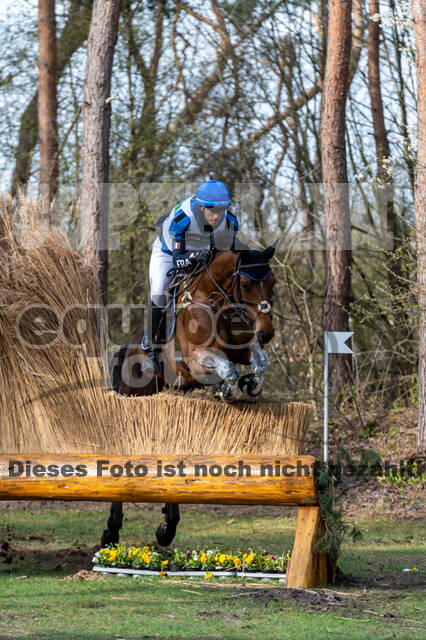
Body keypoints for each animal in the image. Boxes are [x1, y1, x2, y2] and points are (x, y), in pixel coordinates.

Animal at [103, 248, 276, 548]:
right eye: (245, 285)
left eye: (273, 282)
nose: (267, 333)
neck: (218, 304)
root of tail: (124, 351)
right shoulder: (194, 361)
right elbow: (227, 368)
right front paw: (225, 389)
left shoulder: (243, 349)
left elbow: (258, 361)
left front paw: (249, 384)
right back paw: (112, 530)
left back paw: (167, 527)